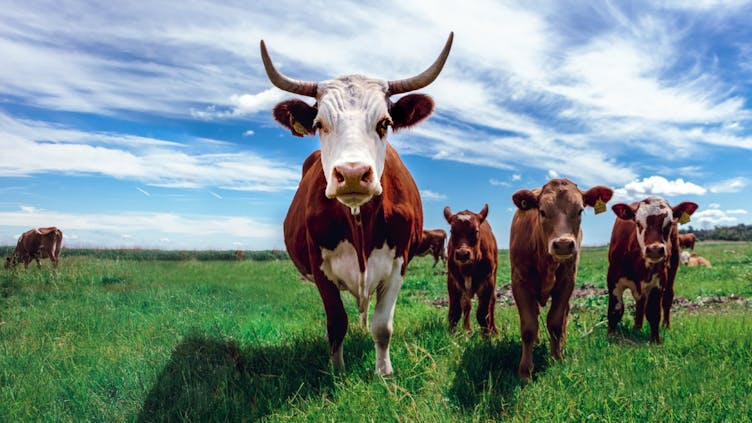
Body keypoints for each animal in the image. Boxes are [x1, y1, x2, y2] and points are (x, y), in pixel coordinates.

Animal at [262, 34, 452, 378]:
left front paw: (384, 371)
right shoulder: (320, 267)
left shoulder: (398, 263)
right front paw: (337, 370)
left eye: (384, 123)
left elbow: (382, 326)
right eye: (320, 124)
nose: (351, 174)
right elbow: (337, 323)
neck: (360, 221)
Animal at [444, 205, 496, 338]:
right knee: (467, 305)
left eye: (476, 231)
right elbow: (455, 312)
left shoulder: (488, 282)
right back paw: (467, 330)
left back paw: (494, 330)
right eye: (452, 231)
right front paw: (452, 336)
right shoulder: (453, 281)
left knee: (492, 304)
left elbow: (483, 314)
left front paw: (486, 337)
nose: (462, 254)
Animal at [508, 179, 612, 380]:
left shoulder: (566, 283)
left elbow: (555, 322)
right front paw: (525, 370)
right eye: (542, 211)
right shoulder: (519, 283)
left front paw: (556, 359)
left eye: (580, 210)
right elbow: (528, 326)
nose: (563, 244)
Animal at [604, 198, 700, 344]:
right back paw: (637, 327)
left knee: (667, 297)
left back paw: (666, 325)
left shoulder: (658, 281)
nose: (654, 249)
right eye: (638, 223)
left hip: (673, 264)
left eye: (669, 223)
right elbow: (616, 309)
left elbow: (653, 312)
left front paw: (655, 340)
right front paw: (611, 336)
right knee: (640, 303)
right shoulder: (613, 278)